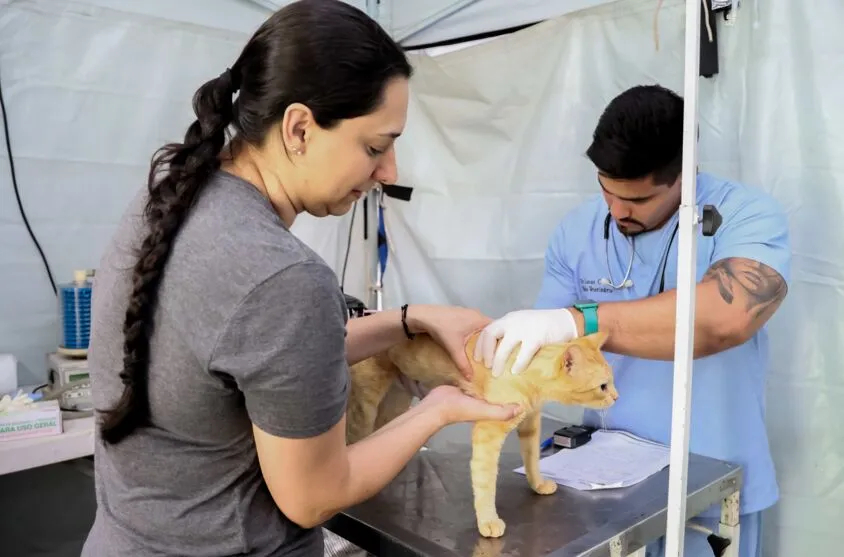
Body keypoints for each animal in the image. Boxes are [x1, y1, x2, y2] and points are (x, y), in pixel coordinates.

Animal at [346, 328, 616, 536]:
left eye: (611, 382)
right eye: (602, 386)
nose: (616, 396)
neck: (525, 372)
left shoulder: (530, 425)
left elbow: (532, 461)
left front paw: (537, 484)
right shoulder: (488, 433)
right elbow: (486, 482)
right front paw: (488, 521)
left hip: (396, 403)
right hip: (366, 406)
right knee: (356, 440)